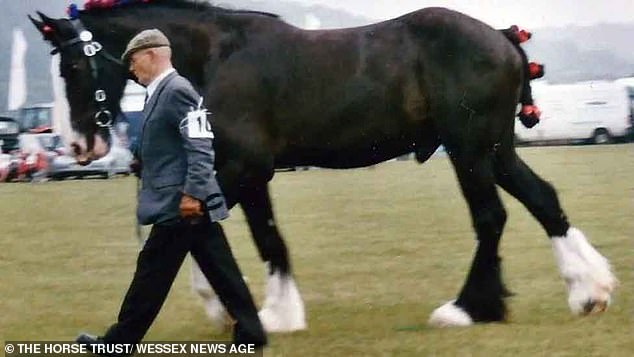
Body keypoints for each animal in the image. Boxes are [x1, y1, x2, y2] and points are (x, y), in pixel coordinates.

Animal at [29, 0, 612, 332]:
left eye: (74, 64)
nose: (79, 145)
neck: (218, 57)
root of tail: (504, 39)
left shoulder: (242, 168)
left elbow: (221, 233)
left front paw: (258, 312)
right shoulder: (242, 173)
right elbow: (256, 237)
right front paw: (261, 309)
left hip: (469, 150)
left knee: (491, 218)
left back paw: (469, 308)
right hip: (495, 150)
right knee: (543, 200)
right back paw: (589, 290)